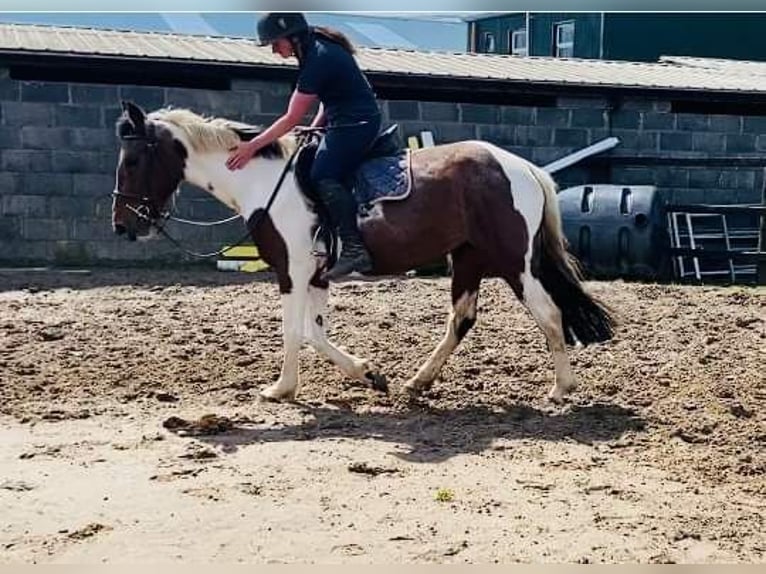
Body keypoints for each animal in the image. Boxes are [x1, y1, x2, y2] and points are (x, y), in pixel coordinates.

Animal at [111, 100, 616, 404]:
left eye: (132, 161)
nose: (123, 225)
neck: (264, 181)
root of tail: (522, 167)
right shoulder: (314, 276)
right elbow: (314, 334)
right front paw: (369, 374)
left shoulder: (291, 272)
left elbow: (292, 332)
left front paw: (281, 388)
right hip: (468, 258)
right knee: (462, 319)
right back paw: (419, 380)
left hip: (515, 262)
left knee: (549, 314)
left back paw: (561, 387)